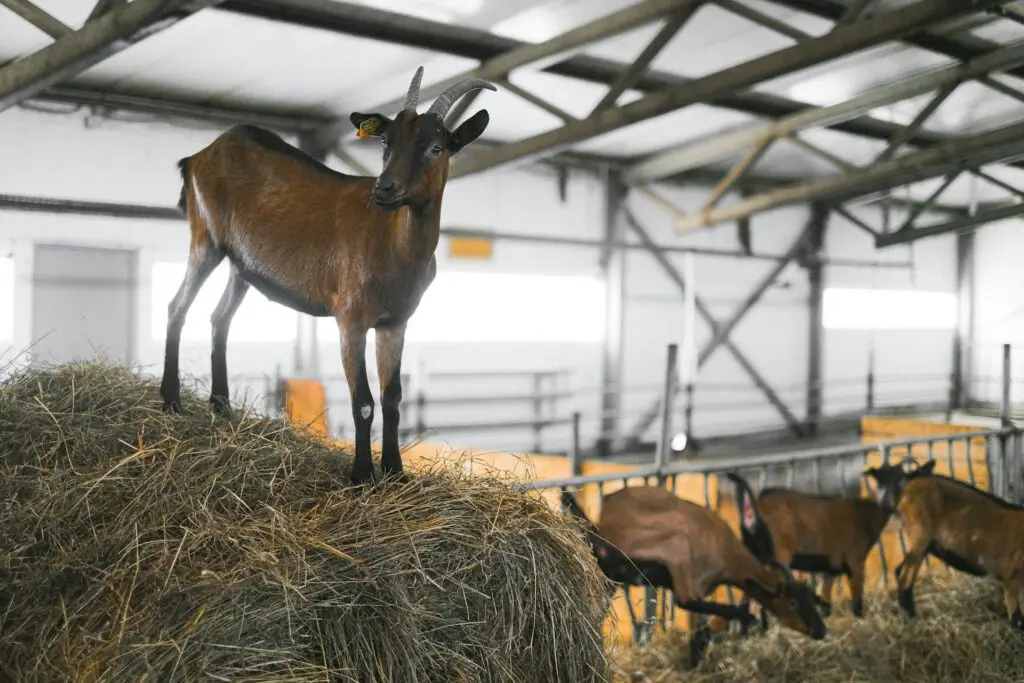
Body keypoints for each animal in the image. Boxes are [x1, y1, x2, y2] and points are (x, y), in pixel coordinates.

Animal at [159, 66, 495, 485]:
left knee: (219, 318)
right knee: (177, 306)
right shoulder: (350, 318)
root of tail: (200, 155)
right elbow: (363, 401)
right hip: (206, 237)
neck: (392, 243)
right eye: (385, 142)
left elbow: (393, 398)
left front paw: (395, 473)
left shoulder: (395, 323)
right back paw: (171, 401)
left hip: (241, 264)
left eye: (436, 147)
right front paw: (362, 475)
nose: (384, 190)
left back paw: (222, 408)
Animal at [562, 477, 826, 667]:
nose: (821, 630)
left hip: (611, 579)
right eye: (791, 602)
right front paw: (745, 616)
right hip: (672, 547)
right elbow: (692, 609)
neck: (728, 554)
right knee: (683, 599)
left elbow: (698, 634)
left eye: (809, 596)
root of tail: (602, 524)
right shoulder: (691, 575)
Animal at [867, 461, 1024, 628]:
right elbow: (1016, 616)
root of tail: (909, 483)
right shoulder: (1012, 578)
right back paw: (911, 620)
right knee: (905, 577)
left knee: (899, 570)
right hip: (919, 536)